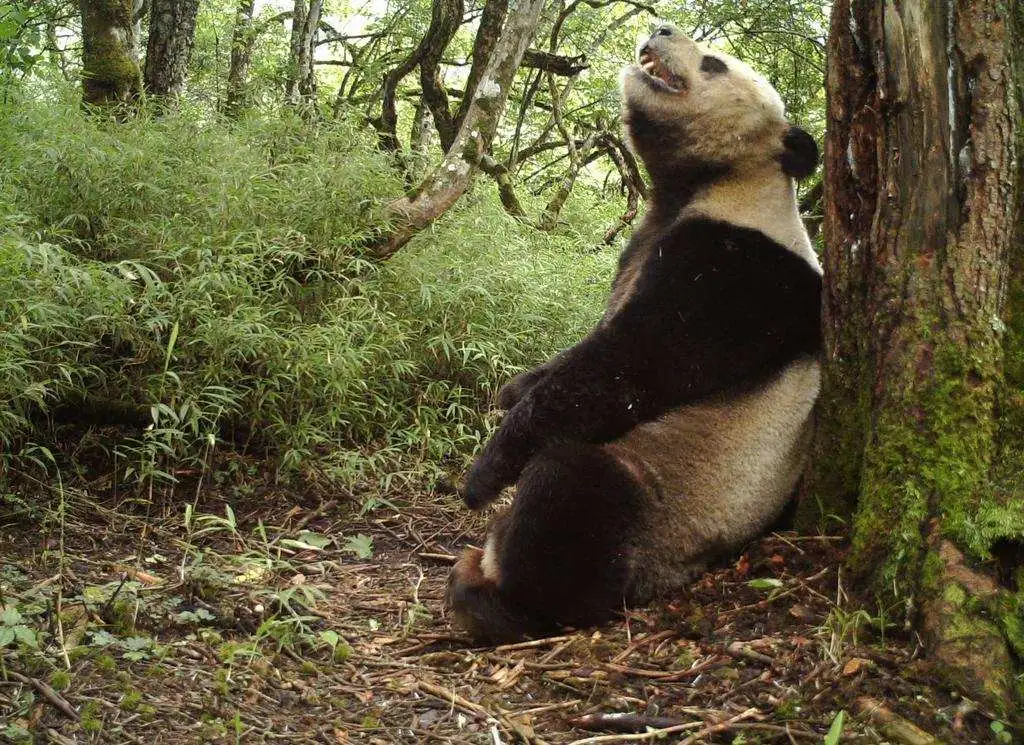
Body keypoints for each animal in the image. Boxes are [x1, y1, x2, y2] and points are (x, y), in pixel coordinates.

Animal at [448, 23, 823, 638]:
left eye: (714, 64)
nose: (661, 27)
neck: (719, 182)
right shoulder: (641, 244)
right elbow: (586, 347)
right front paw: (512, 387)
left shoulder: (732, 274)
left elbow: (627, 370)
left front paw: (484, 472)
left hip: (675, 496)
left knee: (576, 492)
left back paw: (493, 599)